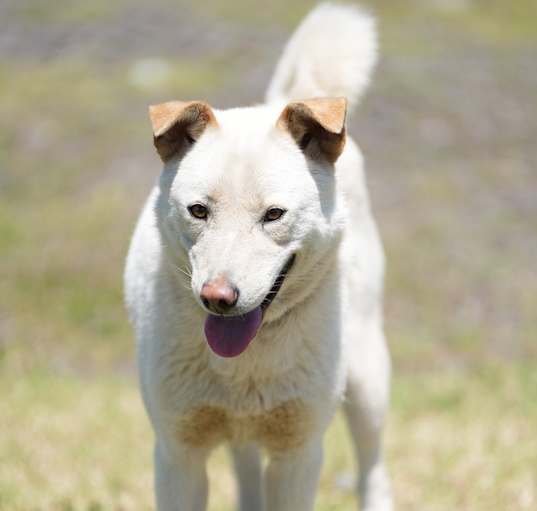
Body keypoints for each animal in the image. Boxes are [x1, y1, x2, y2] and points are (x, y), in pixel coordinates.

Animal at [123, 4, 392, 511]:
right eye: (198, 210)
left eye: (274, 215)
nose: (217, 297)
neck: (245, 361)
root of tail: (284, 100)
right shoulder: (178, 452)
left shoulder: (298, 453)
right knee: (246, 468)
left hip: (368, 377)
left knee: (373, 466)